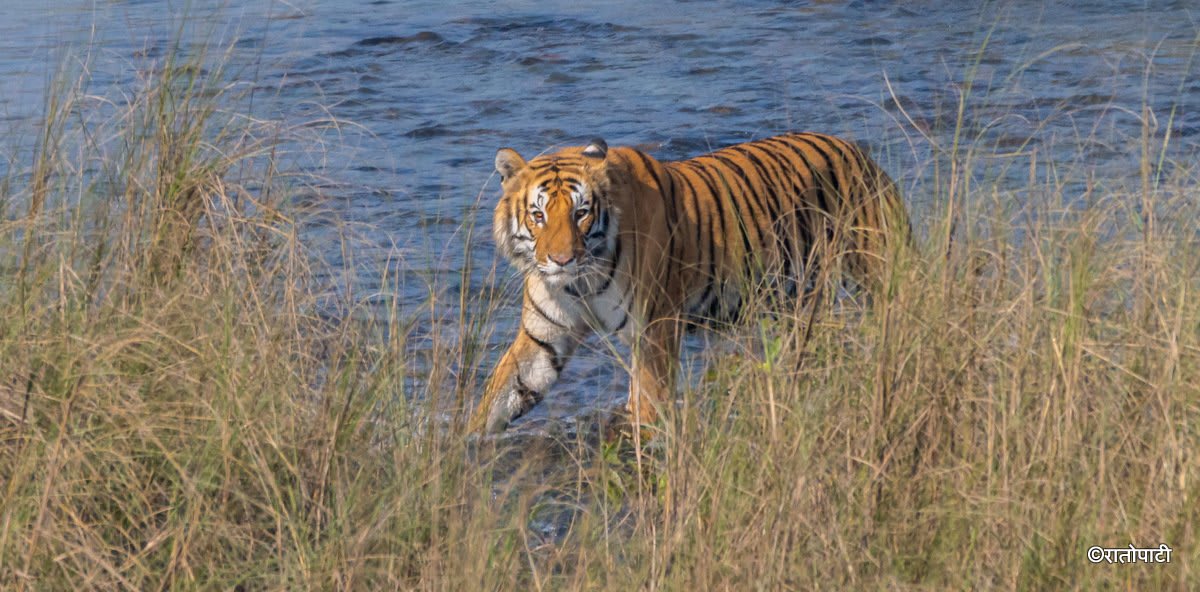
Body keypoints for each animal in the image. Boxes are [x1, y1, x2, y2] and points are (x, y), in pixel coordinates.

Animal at [467, 132, 910, 435]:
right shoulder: (544, 337)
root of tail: (860, 153)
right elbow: (501, 394)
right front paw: (461, 447)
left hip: (881, 269)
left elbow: (647, 403)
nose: (562, 260)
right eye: (538, 215)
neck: (580, 282)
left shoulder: (655, 329)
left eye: (581, 213)